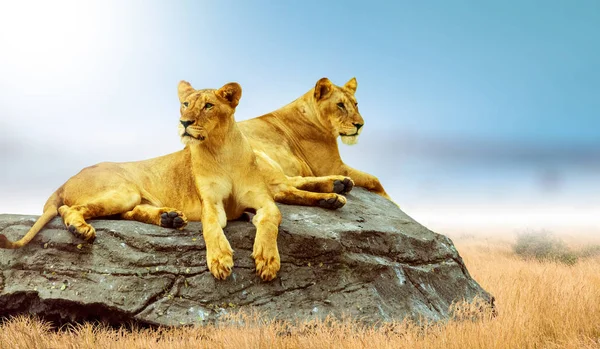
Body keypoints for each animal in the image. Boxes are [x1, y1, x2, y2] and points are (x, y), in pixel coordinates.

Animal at [0, 81, 282, 280]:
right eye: (185, 104)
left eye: (208, 106)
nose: (184, 122)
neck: (222, 150)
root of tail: (68, 178)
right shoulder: (210, 204)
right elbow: (211, 228)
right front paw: (220, 259)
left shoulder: (264, 200)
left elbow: (270, 220)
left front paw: (267, 260)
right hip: (124, 191)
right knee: (68, 209)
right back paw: (80, 229)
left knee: (126, 213)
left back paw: (169, 218)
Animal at [237, 77, 392, 200]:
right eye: (340, 105)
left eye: (356, 104)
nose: (360, 125)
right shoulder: (333, 167)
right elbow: (374, 180)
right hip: (259, 159)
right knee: (282, 191)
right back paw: (332, 198)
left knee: (293, 180)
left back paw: (339, 183)